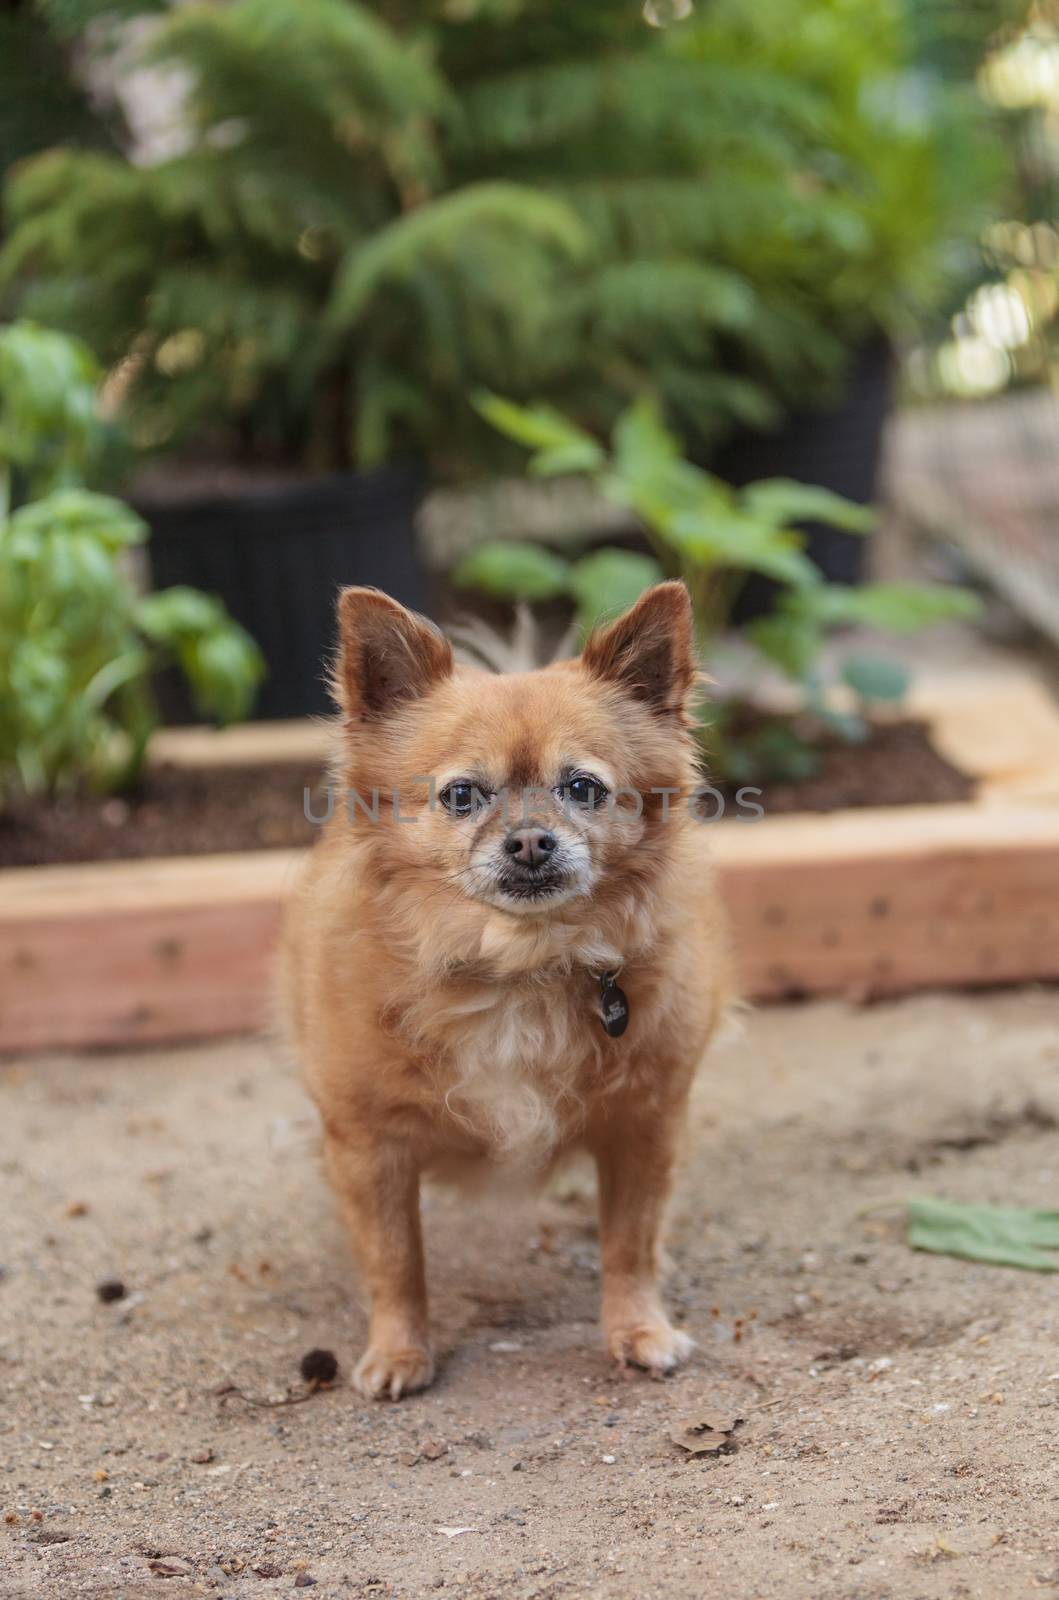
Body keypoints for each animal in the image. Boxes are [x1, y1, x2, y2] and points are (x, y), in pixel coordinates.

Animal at [281, 582, 729, 1395]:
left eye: (582, 789)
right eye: (462, 795)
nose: (528, 841)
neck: (520, 965)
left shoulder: (645, 1126)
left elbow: (630, 1240)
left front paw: (637, 1328)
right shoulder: (368, 1145)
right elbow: (395, 1259)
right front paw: (400, 1350)